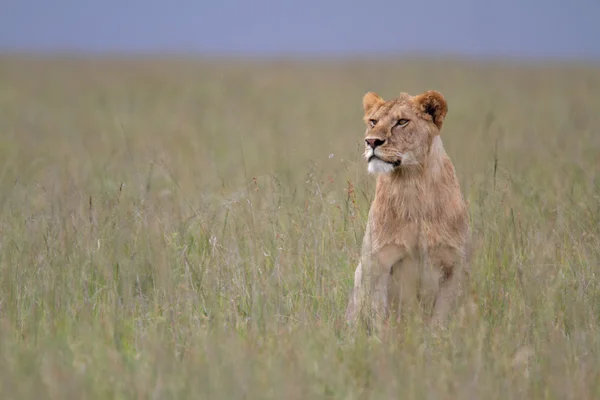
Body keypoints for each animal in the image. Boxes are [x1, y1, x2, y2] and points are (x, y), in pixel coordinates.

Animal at [344, 89, 472, 330]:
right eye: (373, 121)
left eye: (402, 122)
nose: (371, 141)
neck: (412, 183)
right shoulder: (377, 262)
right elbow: (379, 316)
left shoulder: (454, 266)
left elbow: (440, 320)